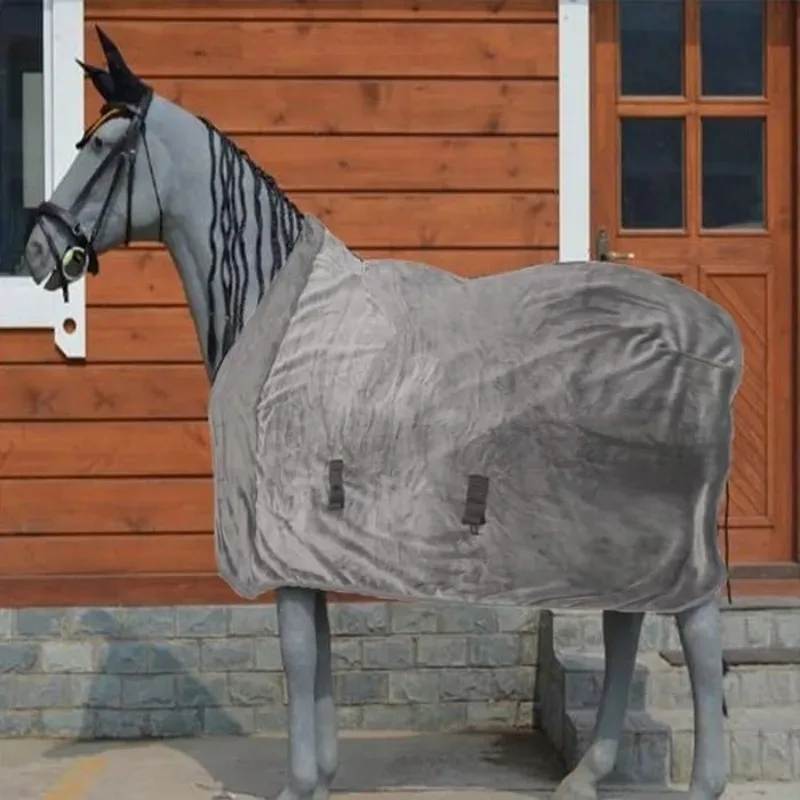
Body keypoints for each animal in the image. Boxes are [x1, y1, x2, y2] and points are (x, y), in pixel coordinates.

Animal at [21, 27, 738, 800]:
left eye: (102, 147)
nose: (36, 250)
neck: (276, 314)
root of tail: (713, 334)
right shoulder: (308, 540)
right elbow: (318, 650)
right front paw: (322, 774)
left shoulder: (286, 532)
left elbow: (298, 654)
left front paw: (299, 782)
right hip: (615, 533)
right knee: (624, 625)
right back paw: (586, 774)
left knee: (698, 634)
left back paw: (703, 782)